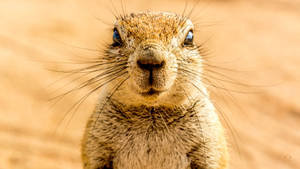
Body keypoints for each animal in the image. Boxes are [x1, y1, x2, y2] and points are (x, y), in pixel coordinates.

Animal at [81, 11, 226, 168]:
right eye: (116, 36)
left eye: (189, 37)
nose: (150, 60)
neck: (152, 111)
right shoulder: (96, 144)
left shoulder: (209, 143)